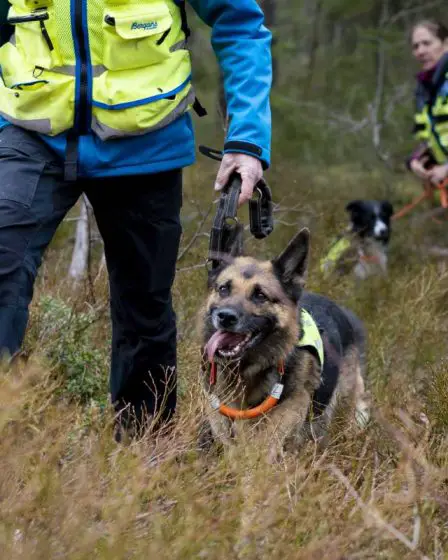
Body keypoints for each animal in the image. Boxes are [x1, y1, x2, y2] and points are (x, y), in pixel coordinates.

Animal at [200, 225, 372, 458]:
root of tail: (342, 311)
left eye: (260, 295)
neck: (250, 370)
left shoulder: (291, 406)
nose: (225, 317)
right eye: (223, 289)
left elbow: (265, 443)